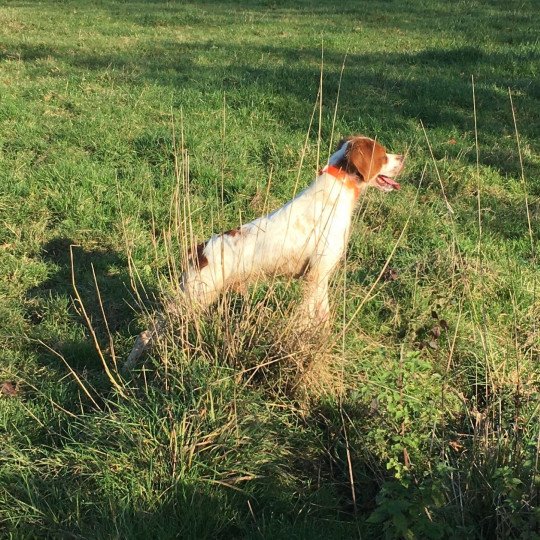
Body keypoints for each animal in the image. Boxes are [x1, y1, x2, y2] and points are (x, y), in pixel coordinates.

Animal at [124, 137, 402, 370]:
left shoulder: (319, 278)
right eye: (383, 155)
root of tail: (199, 250)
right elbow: (310, 319)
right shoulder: (316, 277)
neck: (336, 192)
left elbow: (323, 319)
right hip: (193, 298)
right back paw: (128, 367)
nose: (403, 158)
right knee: (146, 334)